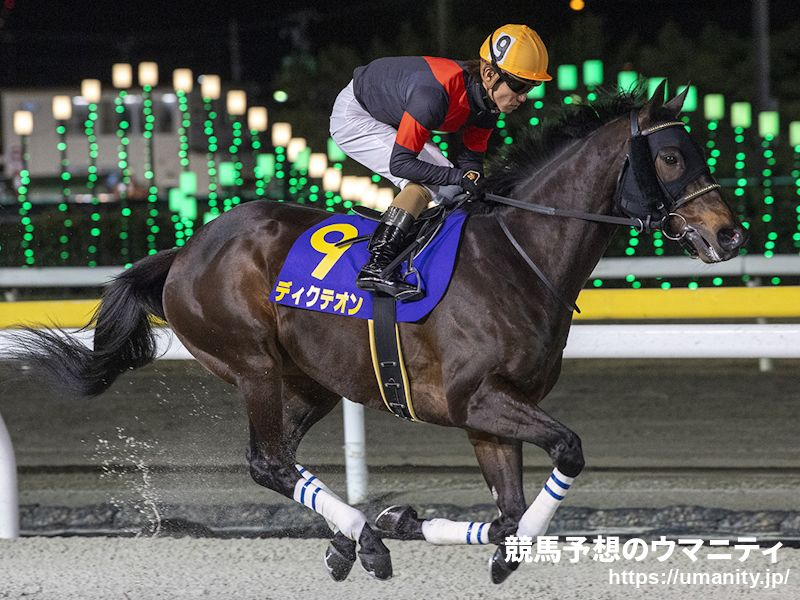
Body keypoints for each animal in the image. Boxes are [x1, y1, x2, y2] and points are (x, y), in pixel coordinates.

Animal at [15, 84, 748, 580]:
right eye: (673, 156)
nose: (729, 234)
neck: (518, 256)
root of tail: (185, 251)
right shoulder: (474, 400)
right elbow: (565, 454)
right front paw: (422, 528)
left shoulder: (492, 417)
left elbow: (507, 513)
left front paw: (414, 520)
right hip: (252, 363)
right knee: (267, 460)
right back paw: (362, 538)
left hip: (311, 380)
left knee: (280, 457)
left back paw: (353, 535)